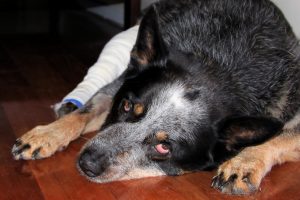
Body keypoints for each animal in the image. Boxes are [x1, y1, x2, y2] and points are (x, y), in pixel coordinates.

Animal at [11, 0, 300, 195]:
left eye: (164, 147)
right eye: (127, 106)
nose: (86, 163)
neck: (218, 64)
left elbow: (281, 136)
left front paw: (244, 163)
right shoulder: (121, 85)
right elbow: (87, 111)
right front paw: (47, 134)